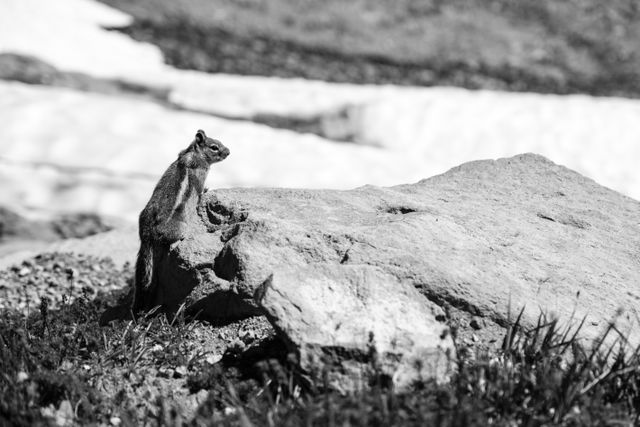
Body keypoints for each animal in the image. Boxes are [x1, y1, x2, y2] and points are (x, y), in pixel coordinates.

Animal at [131, 130, 230, 314]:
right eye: (214, 147)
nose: (228, 152)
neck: (194, 154)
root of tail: (145, 234)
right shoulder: (200, 175)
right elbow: (200, 190)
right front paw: (206, 190)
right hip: (179, 227)